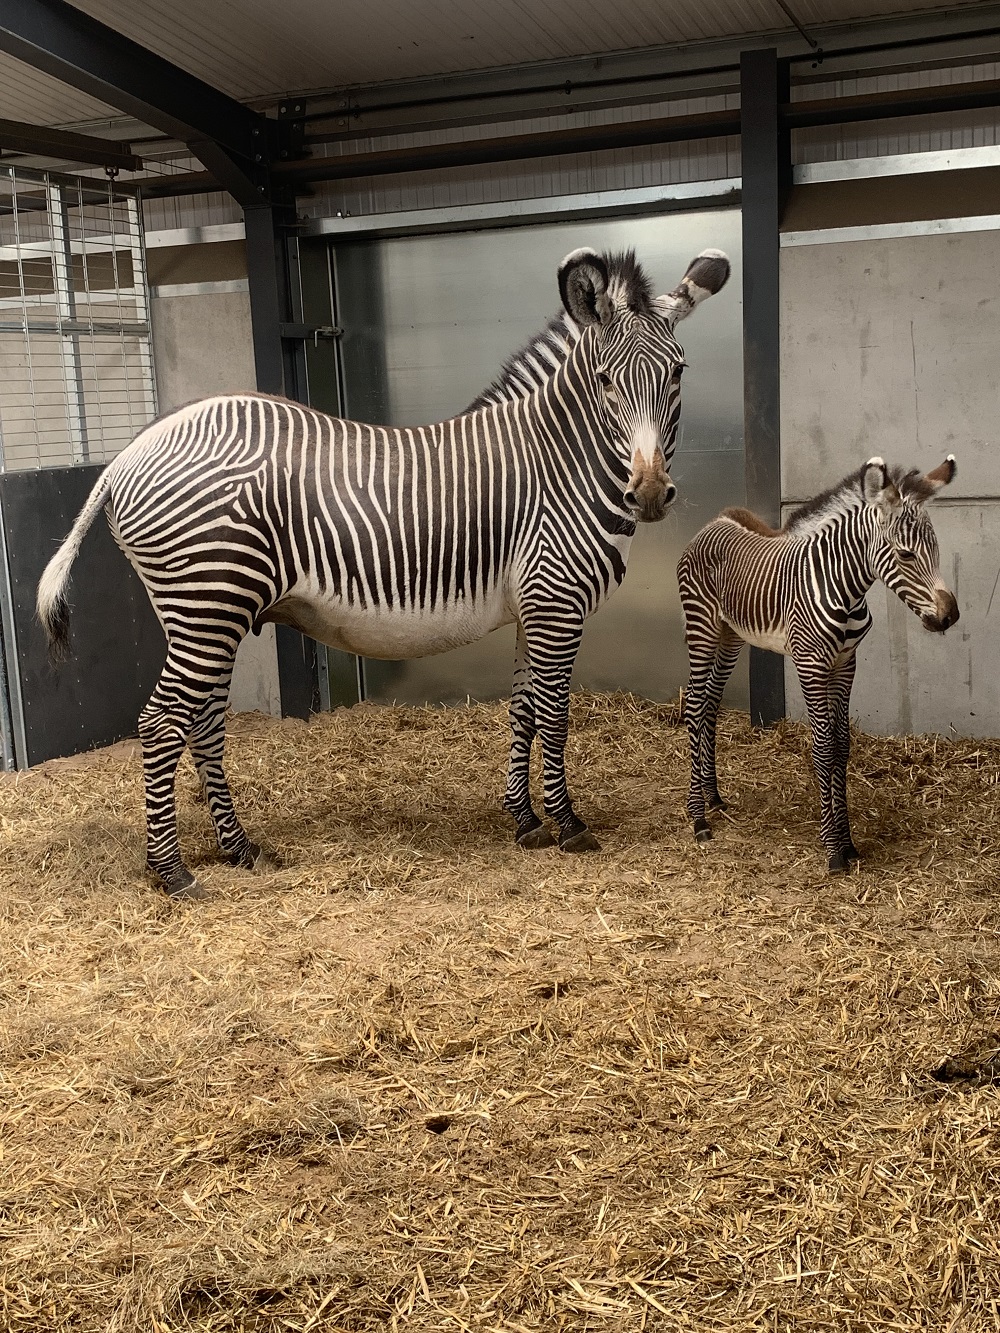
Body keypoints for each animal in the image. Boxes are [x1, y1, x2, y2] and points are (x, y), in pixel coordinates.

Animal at [37, 246, 730, 901]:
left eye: (678, 372)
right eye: (606, 381)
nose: (649, 494)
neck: (562, 461)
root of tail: (130, 450)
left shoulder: (531, 607)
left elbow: (525, 711)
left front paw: (525, 819)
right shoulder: (557, 600)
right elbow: (555, 714)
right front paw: (567, 824)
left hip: (204, 612)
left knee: (202, 723)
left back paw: (241, 849)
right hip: (209, 603)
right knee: (162, 723)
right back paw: (172, 871)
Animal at [682, 458, 965, 874]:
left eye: (936, 549)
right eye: (906, 555)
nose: (949, 617)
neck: (845, 590)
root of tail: (716, 521)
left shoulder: (845, 664)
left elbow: (842, 745)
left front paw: (849, 844)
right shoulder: (811, 664)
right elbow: (823, 747)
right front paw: (833, 850)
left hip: (730, 635)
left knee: (710, 705)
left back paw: (713, 795)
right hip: (700, 628)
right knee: (693, 705)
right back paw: (698, 818)